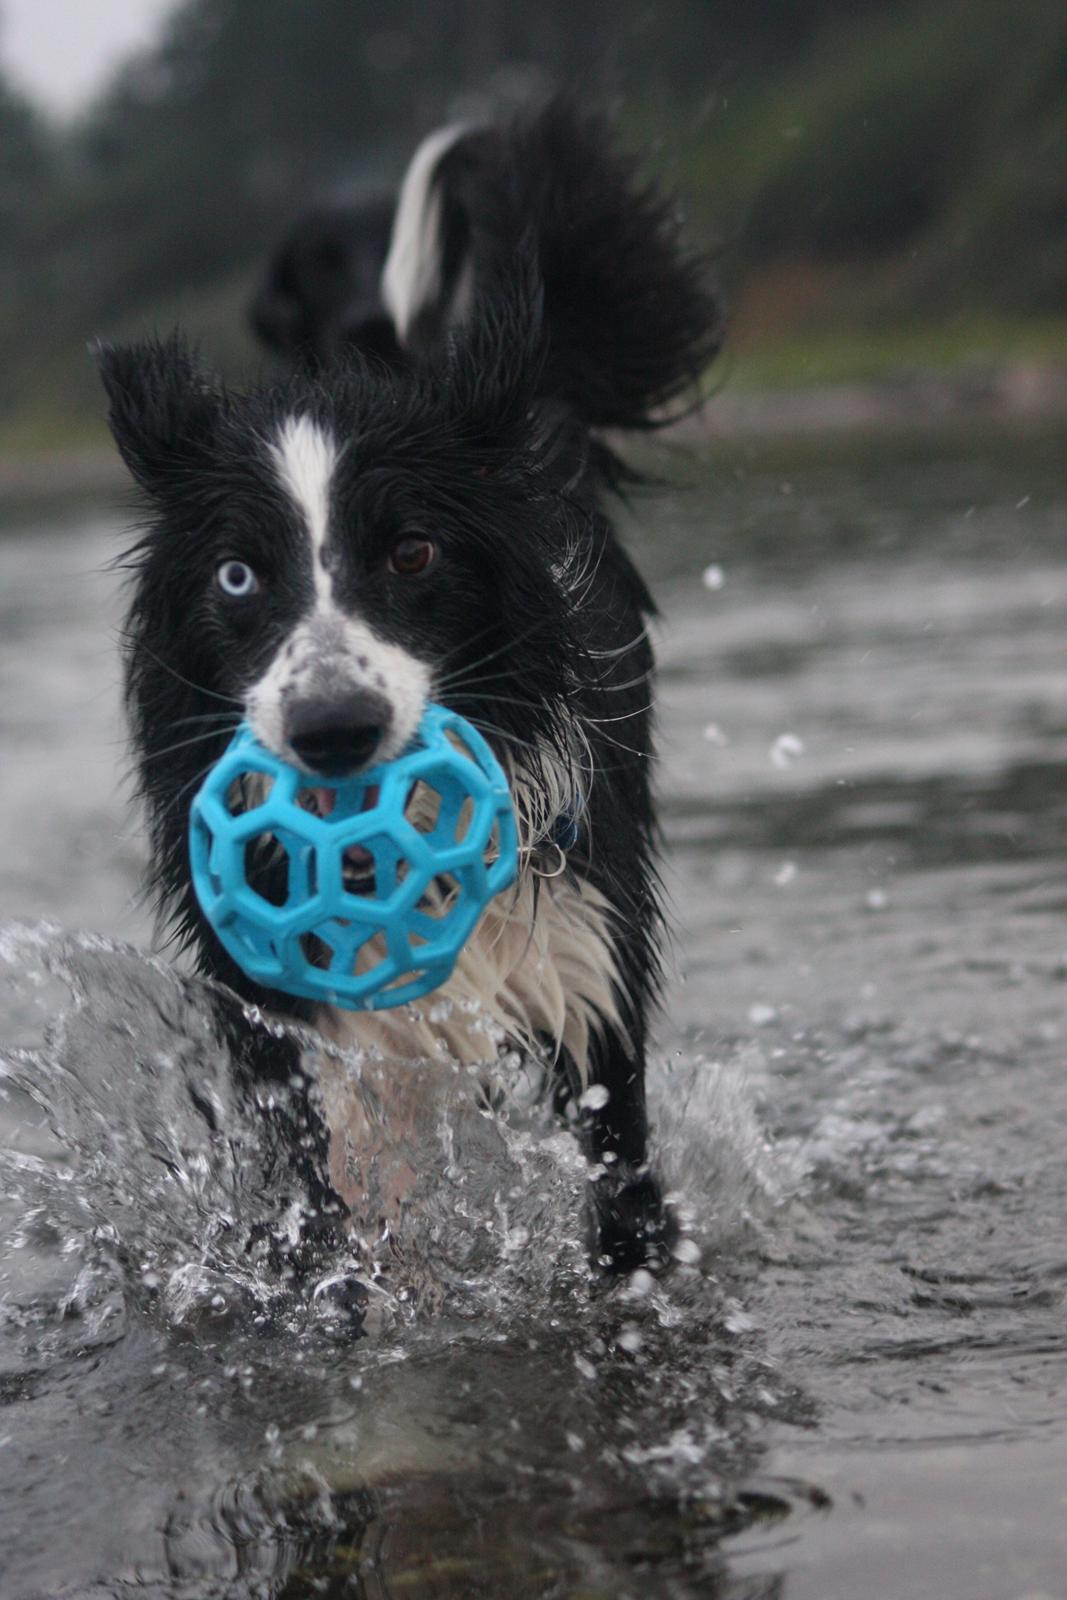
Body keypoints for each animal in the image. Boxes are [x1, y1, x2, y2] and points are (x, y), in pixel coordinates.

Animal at [97, 100, 716, 1273]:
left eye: (413, 552)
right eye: (236, 575)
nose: (333, 729)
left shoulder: (586, 971)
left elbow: (623, 1195)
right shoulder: (287, 1031)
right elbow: (321, 1215)